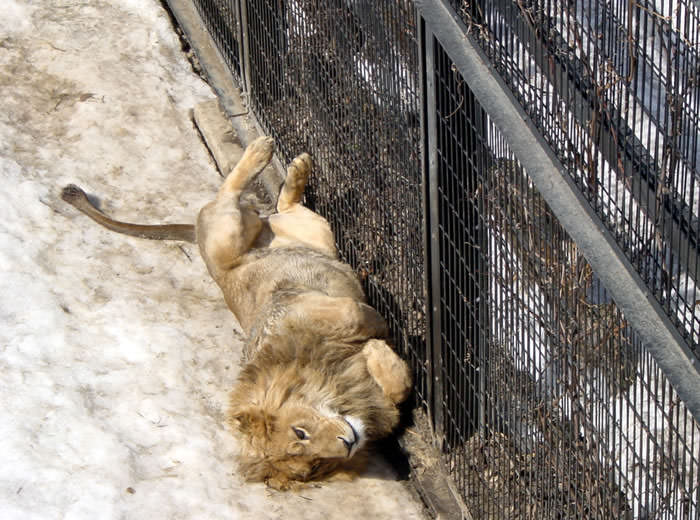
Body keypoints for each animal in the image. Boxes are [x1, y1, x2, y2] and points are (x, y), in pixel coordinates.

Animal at [63, 136, 412, 490]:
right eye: (314, 462)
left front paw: (378, 338)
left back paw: (268, 154)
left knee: (231, 197)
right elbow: (400, 386)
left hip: (232, 238)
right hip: (309, 234)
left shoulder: (297, 307)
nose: (349, 443)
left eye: (300, 432)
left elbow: (359, 315)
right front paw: (379, 349)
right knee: (282, 207)